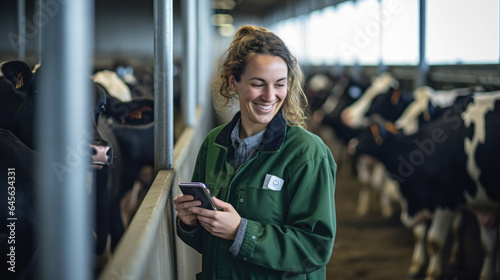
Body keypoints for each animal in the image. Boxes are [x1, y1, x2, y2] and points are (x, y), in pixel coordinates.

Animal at [350, 91, 500, 278]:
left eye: (366, 136)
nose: (351, 145)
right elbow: (487, 246)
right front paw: (416, 266)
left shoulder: (446, 203)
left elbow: (434, 240)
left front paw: (433, 273)